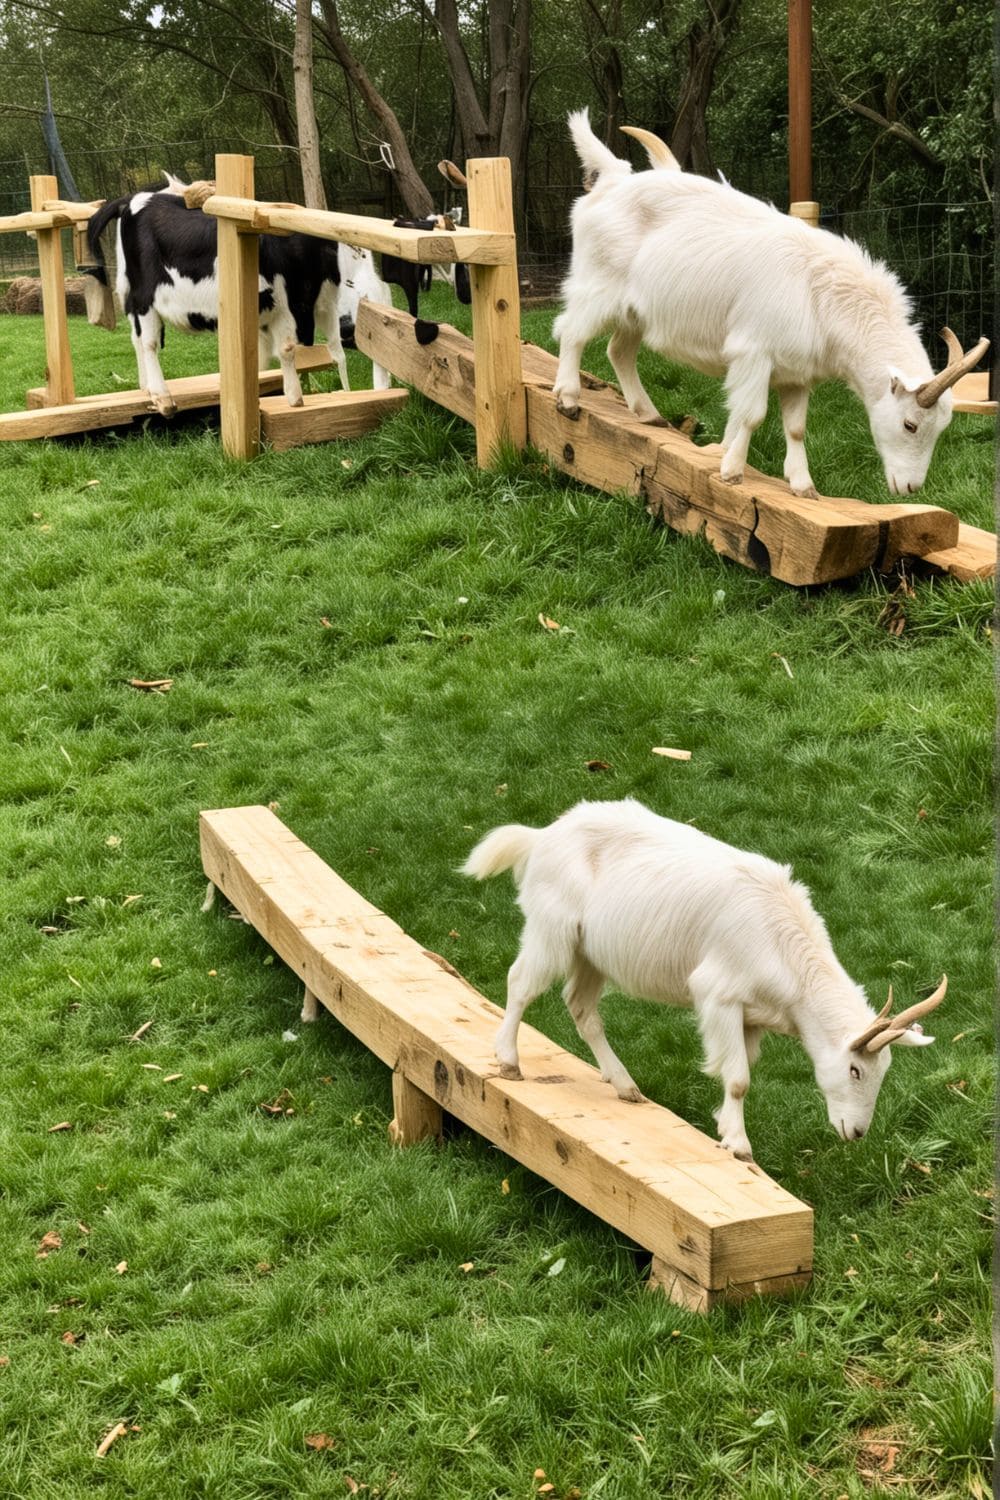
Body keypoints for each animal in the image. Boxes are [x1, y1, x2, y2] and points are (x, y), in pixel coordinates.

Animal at [85, 179, 351, 415]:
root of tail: (132, 198)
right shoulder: (287, 307)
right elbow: (287, 350)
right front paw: (294, 398)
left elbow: (329, 354)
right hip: (144, 295)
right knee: (149, 341)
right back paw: (163, 398)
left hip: (129, 291)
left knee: (137, 337)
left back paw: (146, 388)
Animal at [463, 798, 946, 1162]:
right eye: (855, 1070)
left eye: (884, 1070)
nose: (857, 1132)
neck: (782, 945)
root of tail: (543, 835)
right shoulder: (719, 996)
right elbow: (738, 1078)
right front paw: (739, 1145)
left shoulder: (752, 1018)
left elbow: (742, 1074)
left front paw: (727, 1130)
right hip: (553, 929)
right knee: (521, 983)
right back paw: (509, 1060)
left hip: (590, 954)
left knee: (582, 1008)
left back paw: (626, 1086)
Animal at [553, 110, 988, 497]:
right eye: (911, 425)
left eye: (941, 428)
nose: (911, 487)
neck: (822, 294)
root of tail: (611, 181)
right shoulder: (753, 353)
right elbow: (752, 415)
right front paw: (731, 471)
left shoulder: (797, 374)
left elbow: (794, 427)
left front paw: (803, 486)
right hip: (597, 285)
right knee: (572, 331)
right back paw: (569, 398)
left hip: (634, 312)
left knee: (618, 350)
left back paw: (648, 413)